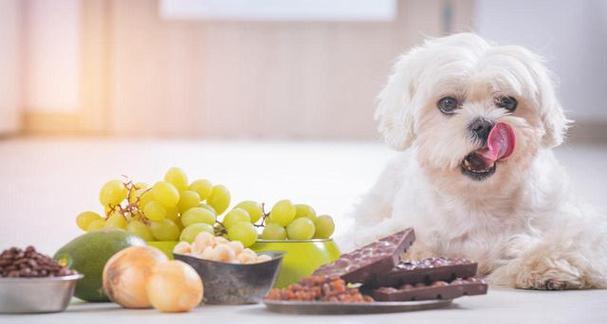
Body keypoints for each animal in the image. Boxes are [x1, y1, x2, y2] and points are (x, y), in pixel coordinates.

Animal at [350, 33, 604, 290]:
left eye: (508, 102)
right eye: (447, 103)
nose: (484, 124)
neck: (477, 199)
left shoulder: (574, 226)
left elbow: (565, 244)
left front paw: (546, 266)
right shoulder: (402, 225)